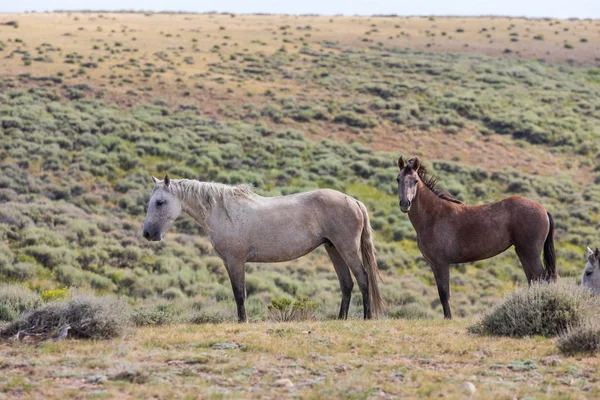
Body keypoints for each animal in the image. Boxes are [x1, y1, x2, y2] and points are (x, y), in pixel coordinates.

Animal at [142, 175, 384, 322]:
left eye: (160, 202)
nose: (147, 234)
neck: (224, 212)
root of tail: (353, 201)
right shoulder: (228, 263)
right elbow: (237, 292)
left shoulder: (236, 261)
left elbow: (240, 293)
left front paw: (243, 321)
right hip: (333, 249)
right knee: (347, 283)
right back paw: (341, 319)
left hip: (346, 248)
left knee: (363, 278)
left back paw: (367, 317)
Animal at [396, 156, 556, 318]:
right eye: (398, 179)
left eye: (415, 180)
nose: (405, 204)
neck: (434, 216)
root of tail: (543, 209)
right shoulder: (434, 265)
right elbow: (442, 293)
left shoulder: (441, 264)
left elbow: (444, 293)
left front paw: (448, 318)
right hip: (522, 252)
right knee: (533, 279)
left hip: (530, 253)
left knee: (541, 278)